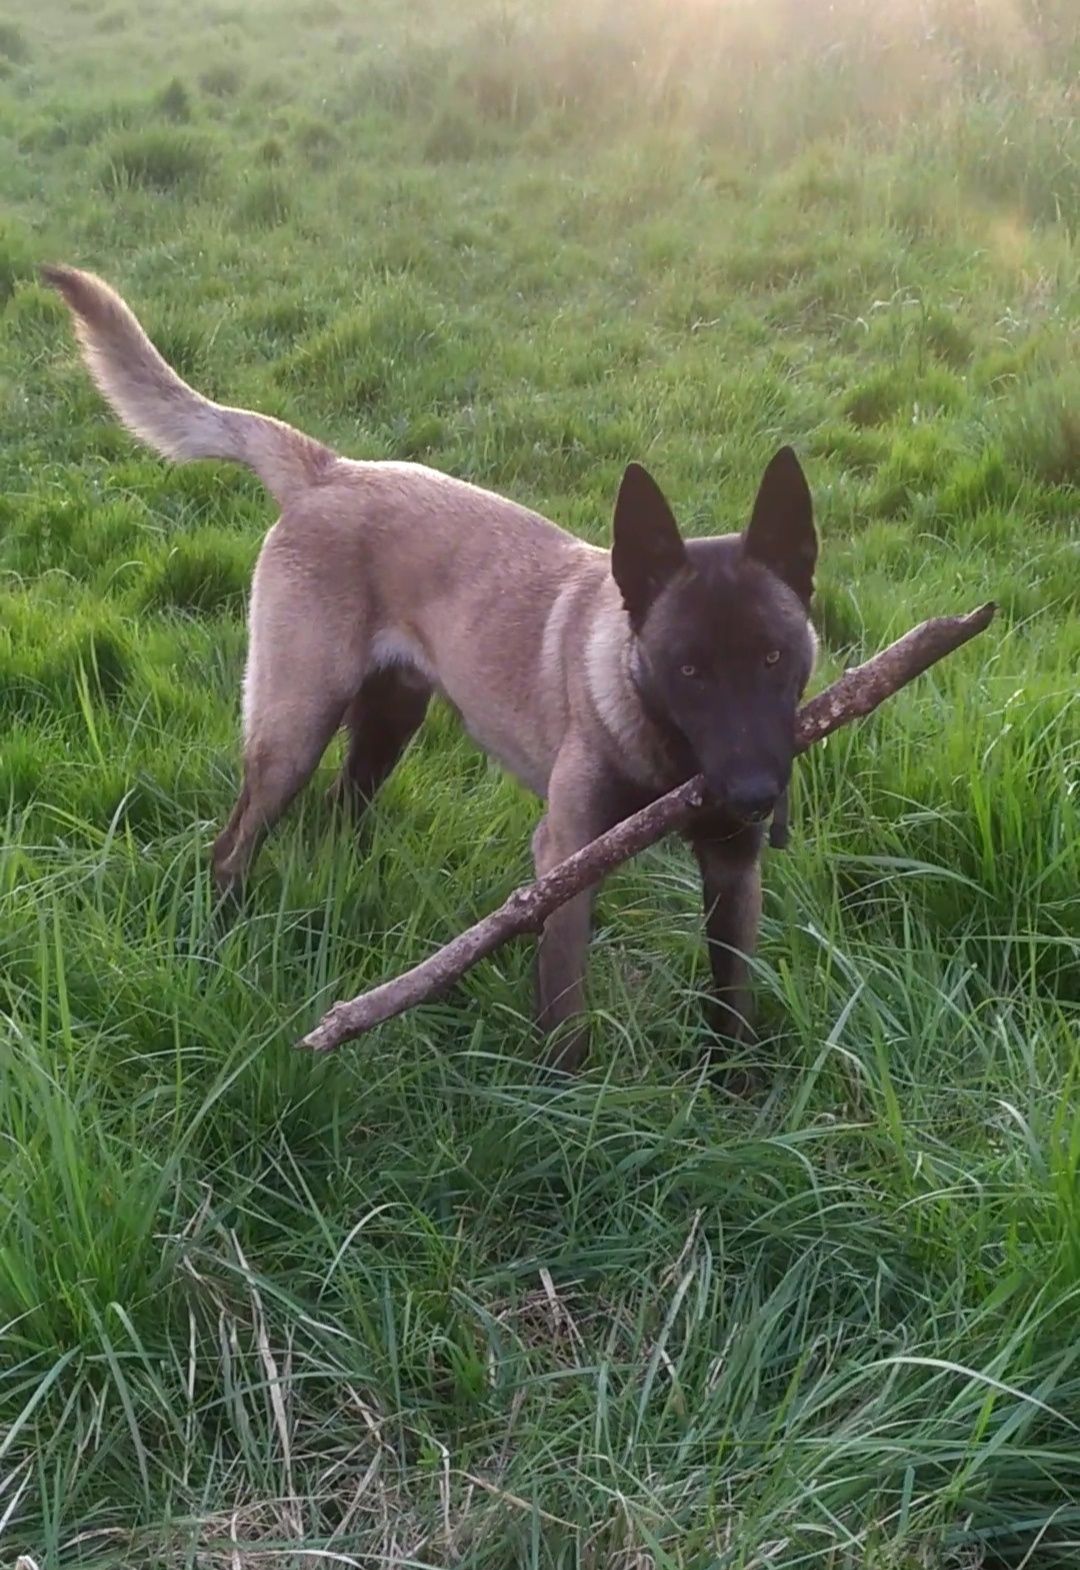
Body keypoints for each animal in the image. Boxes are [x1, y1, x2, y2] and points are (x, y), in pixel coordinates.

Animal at [44, 270, 816, 1073]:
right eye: (687, 669)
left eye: (774, 657)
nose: (756, 793)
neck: (662, 742)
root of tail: (332, 470)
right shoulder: (565, 863)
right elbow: (566, 1020)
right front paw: (570, 1097)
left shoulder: (733, 867)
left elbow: (732, 1003)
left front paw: (736, 1086)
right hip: (295, 726)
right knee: (233, 846)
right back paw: (220, 942)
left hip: (389, 720)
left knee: (339, 811)